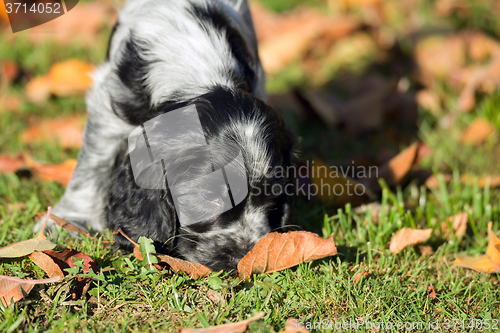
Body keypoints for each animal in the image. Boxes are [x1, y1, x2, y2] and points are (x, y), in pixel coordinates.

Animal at [34, 0, 296, 272]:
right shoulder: (109, 106)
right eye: (209, 197)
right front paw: (68, 220)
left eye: (272, 197)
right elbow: (93, 165)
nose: (245, 256)